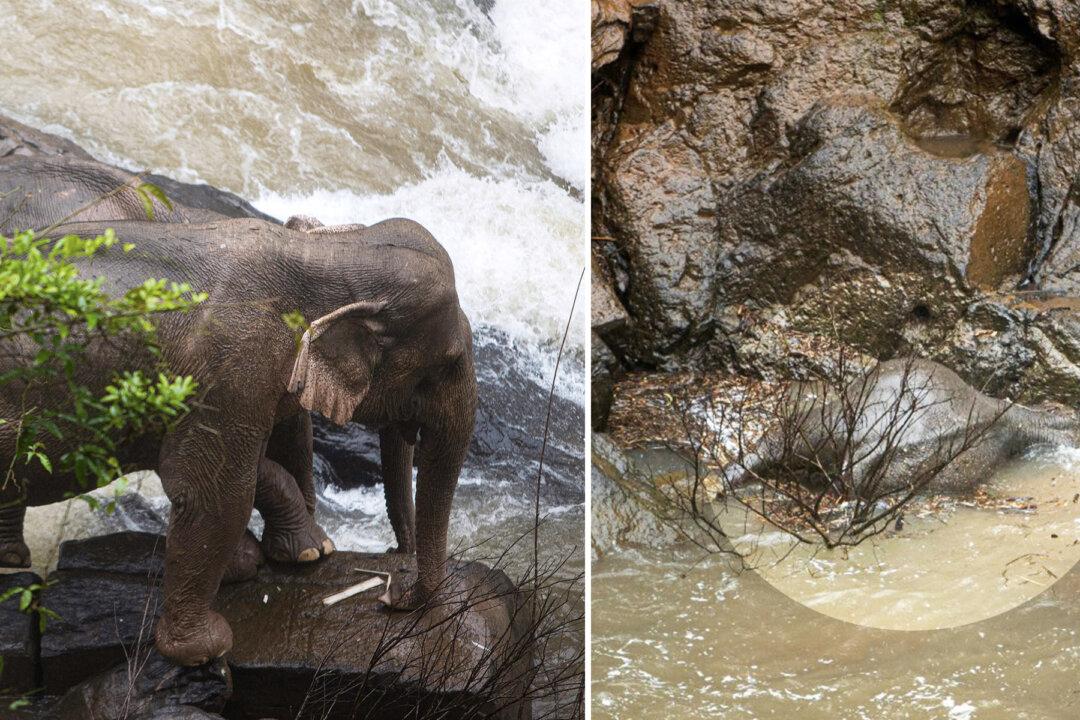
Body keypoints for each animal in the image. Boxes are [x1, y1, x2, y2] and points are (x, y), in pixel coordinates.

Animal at [0, 213, 477, 667]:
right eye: (447, 362)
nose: (390, 593)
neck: (328, 252)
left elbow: (239, 462)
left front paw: (300, 554)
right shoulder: (231, 366)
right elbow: (212, 493)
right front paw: (205, 650)